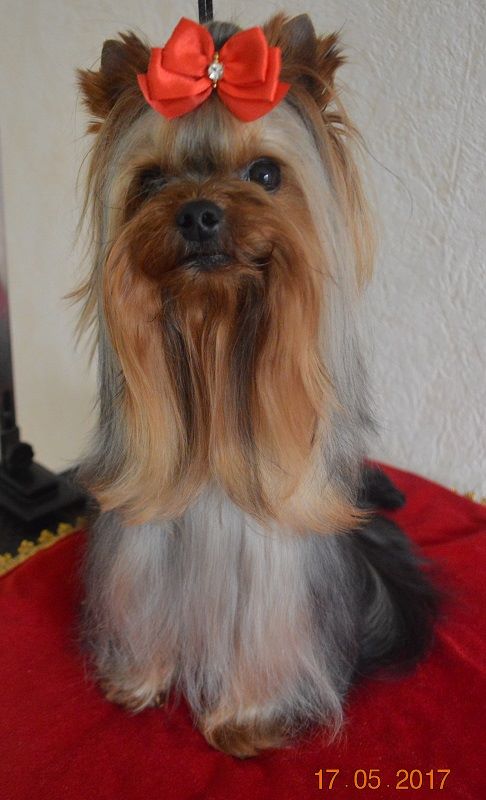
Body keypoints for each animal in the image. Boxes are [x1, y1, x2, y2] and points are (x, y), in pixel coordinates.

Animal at [74, 13, 438, 757]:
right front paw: (138, 681)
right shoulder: (142, 551)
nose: (199, 214)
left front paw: (248, 719)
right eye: (150, 181)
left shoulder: (276, 580)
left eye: (265, 173)